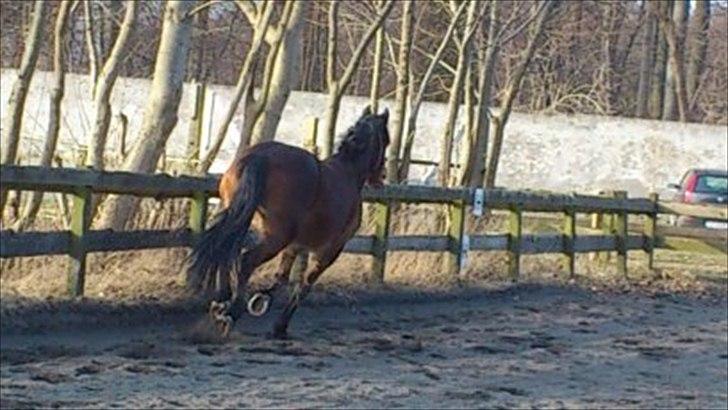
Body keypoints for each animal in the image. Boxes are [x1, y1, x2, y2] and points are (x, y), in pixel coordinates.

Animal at [189, 106, 392, 340]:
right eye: (387, 140)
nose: (381, 176)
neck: (349, 172)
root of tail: (260, 156)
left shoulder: (295, 246)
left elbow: (282, 278)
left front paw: (261, 300)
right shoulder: (329, 251)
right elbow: (303, 286)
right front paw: (279, 324)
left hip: (240, 218)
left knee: (225, 250)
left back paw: (221, 303)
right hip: (277, 237)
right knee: (246, 261)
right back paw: (232, 310)